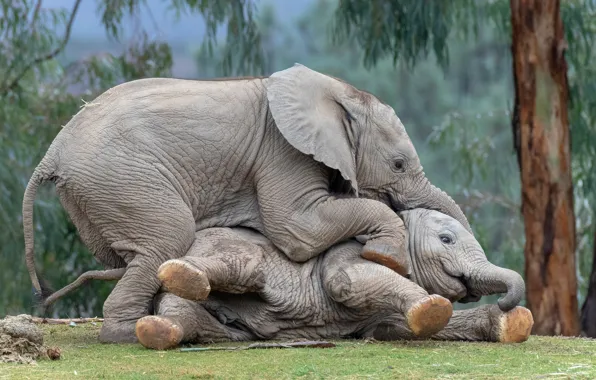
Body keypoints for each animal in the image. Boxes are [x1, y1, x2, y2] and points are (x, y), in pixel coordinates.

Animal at [22, 63, 470, 342]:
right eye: (398, 165)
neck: (338, 93)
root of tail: (54, 150)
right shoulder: (282, 151)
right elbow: (297, 229)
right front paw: (386, 256)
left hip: (98, 191)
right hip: (122, 175)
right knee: (168, 237)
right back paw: (126, 334)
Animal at [130, 209, 528, 348]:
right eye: (446, 240)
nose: (506, 299)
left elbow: (390, 328)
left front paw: (515, 324)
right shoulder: (348, 252)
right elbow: (347, 282)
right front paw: (432, 308)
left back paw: (161, 330)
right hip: (227, 247)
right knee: (244, 270)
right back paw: (178, 275)